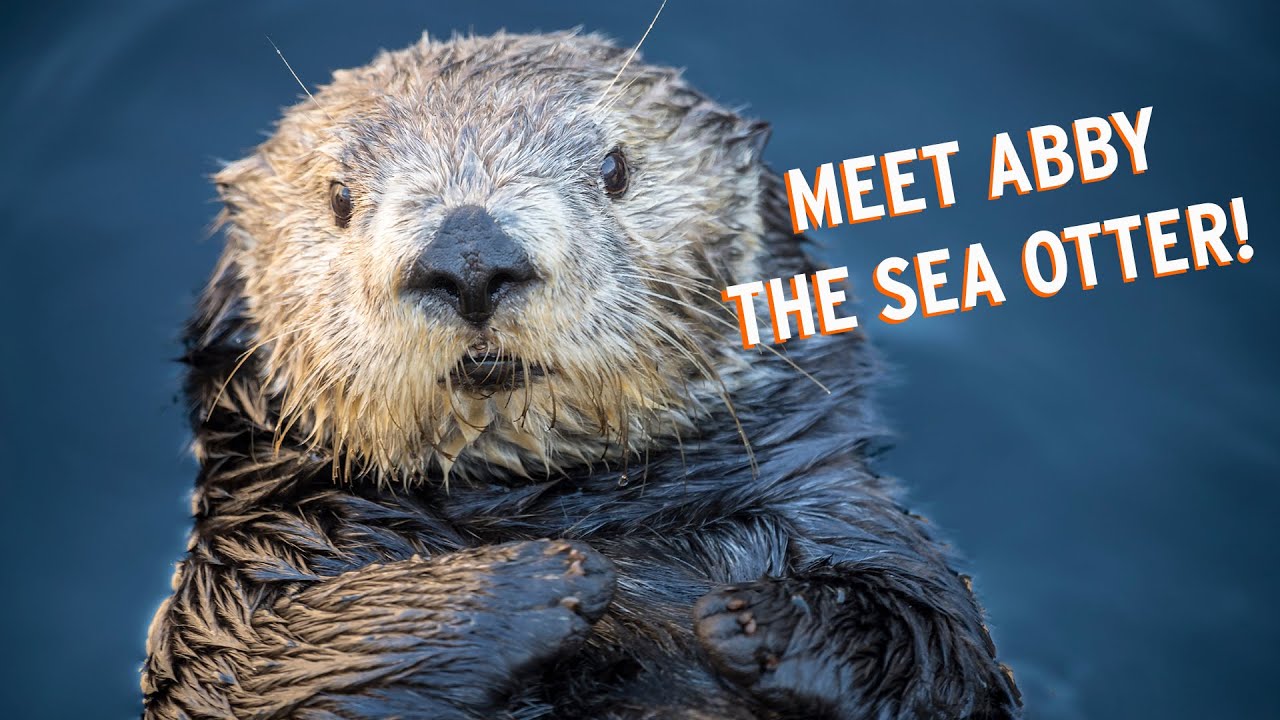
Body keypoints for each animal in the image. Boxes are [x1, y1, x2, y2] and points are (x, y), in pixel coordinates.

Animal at [142, 30, 1021, 720]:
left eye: (615, 168)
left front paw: (754, 622)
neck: (555, 502)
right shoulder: (233, 584)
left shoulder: (843, 512)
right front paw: (538, 581)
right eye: (337, 197)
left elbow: (936, 637)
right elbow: (251, 670)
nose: (470, 257)